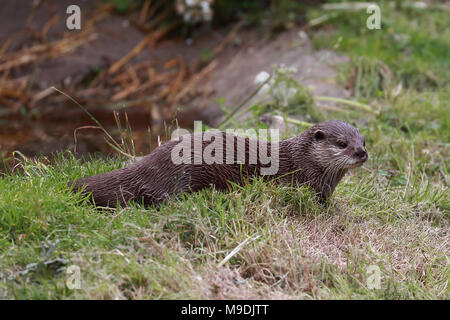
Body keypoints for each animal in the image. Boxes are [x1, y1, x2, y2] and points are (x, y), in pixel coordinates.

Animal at [69, 120, 366, 208]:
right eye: (342, 143)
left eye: (363, 140)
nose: (361, 153)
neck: (300, 161)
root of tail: (146, 165)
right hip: (175, 176)